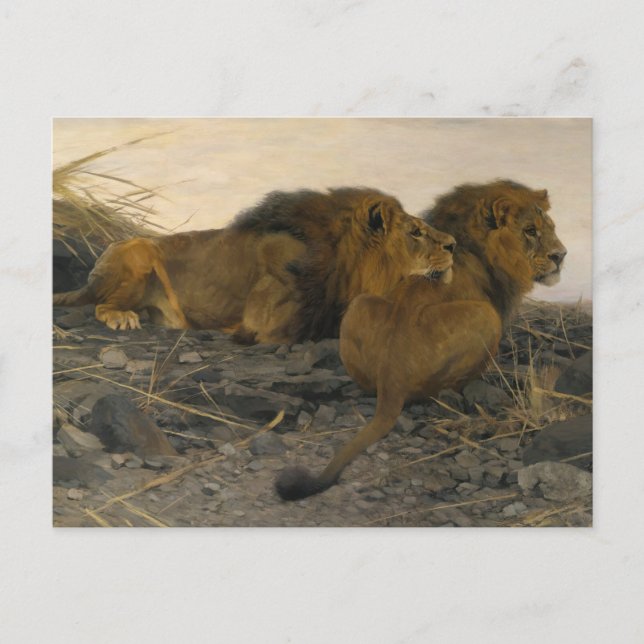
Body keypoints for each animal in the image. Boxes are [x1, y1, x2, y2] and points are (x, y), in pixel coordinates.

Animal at [53, 188, 453, 344]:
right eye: (416, 232)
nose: (454, 245)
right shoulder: (268, 322)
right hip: (139, 251)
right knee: (100, 304)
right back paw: (123, 316)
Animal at [276, 180, 567, 500]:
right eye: (530, 230)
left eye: (551, 227)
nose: (561, 256)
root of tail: (393, 370)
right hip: (485, 316)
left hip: (360, 304)